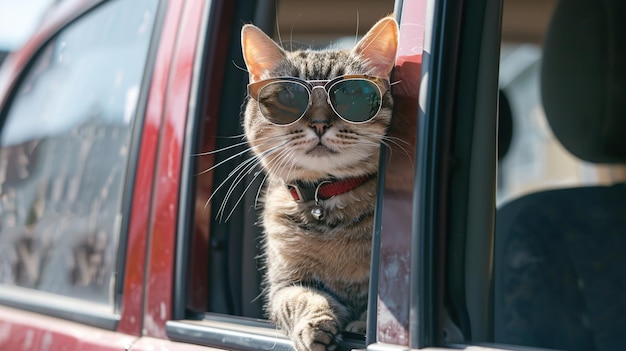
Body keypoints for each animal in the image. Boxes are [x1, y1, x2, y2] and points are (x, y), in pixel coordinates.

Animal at [239, 15, 394, 351]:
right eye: (287, 97)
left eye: (352, 95)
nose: (320, 123)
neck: (324, 201)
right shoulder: (284, 285)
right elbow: (303, 298)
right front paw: (316, 325)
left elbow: (369, 312)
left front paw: (361, 324)